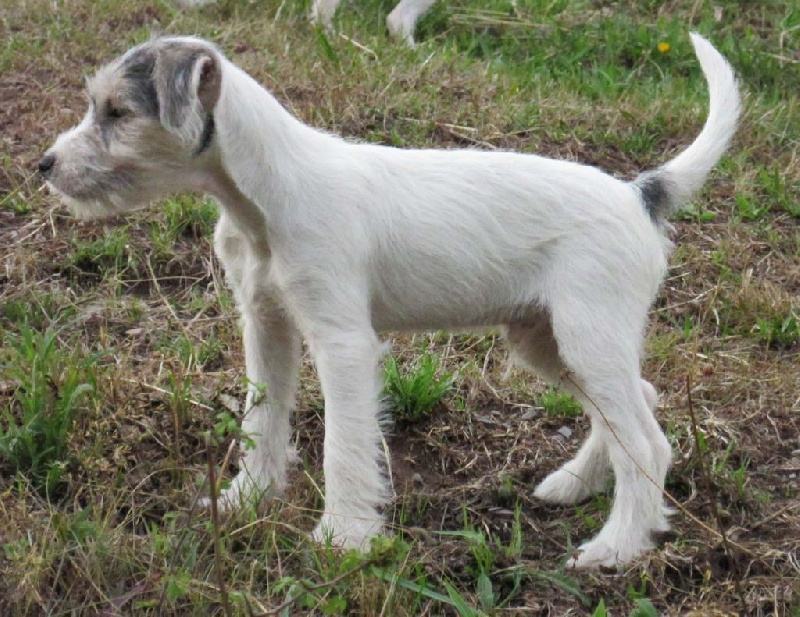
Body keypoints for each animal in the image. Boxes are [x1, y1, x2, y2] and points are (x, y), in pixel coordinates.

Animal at [37, 32, 736, 564]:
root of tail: (638, 194)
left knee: (646, 442)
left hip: (586, 335)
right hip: (548, 339)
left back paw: (616, 548)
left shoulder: (342, 342)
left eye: (117, 112)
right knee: (637, 405)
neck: (263, 195)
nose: (44, 165)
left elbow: (343, 444)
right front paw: (247, 500)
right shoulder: (266, 325)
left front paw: (343, 537)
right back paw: (574, 485)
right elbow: (262, 418)